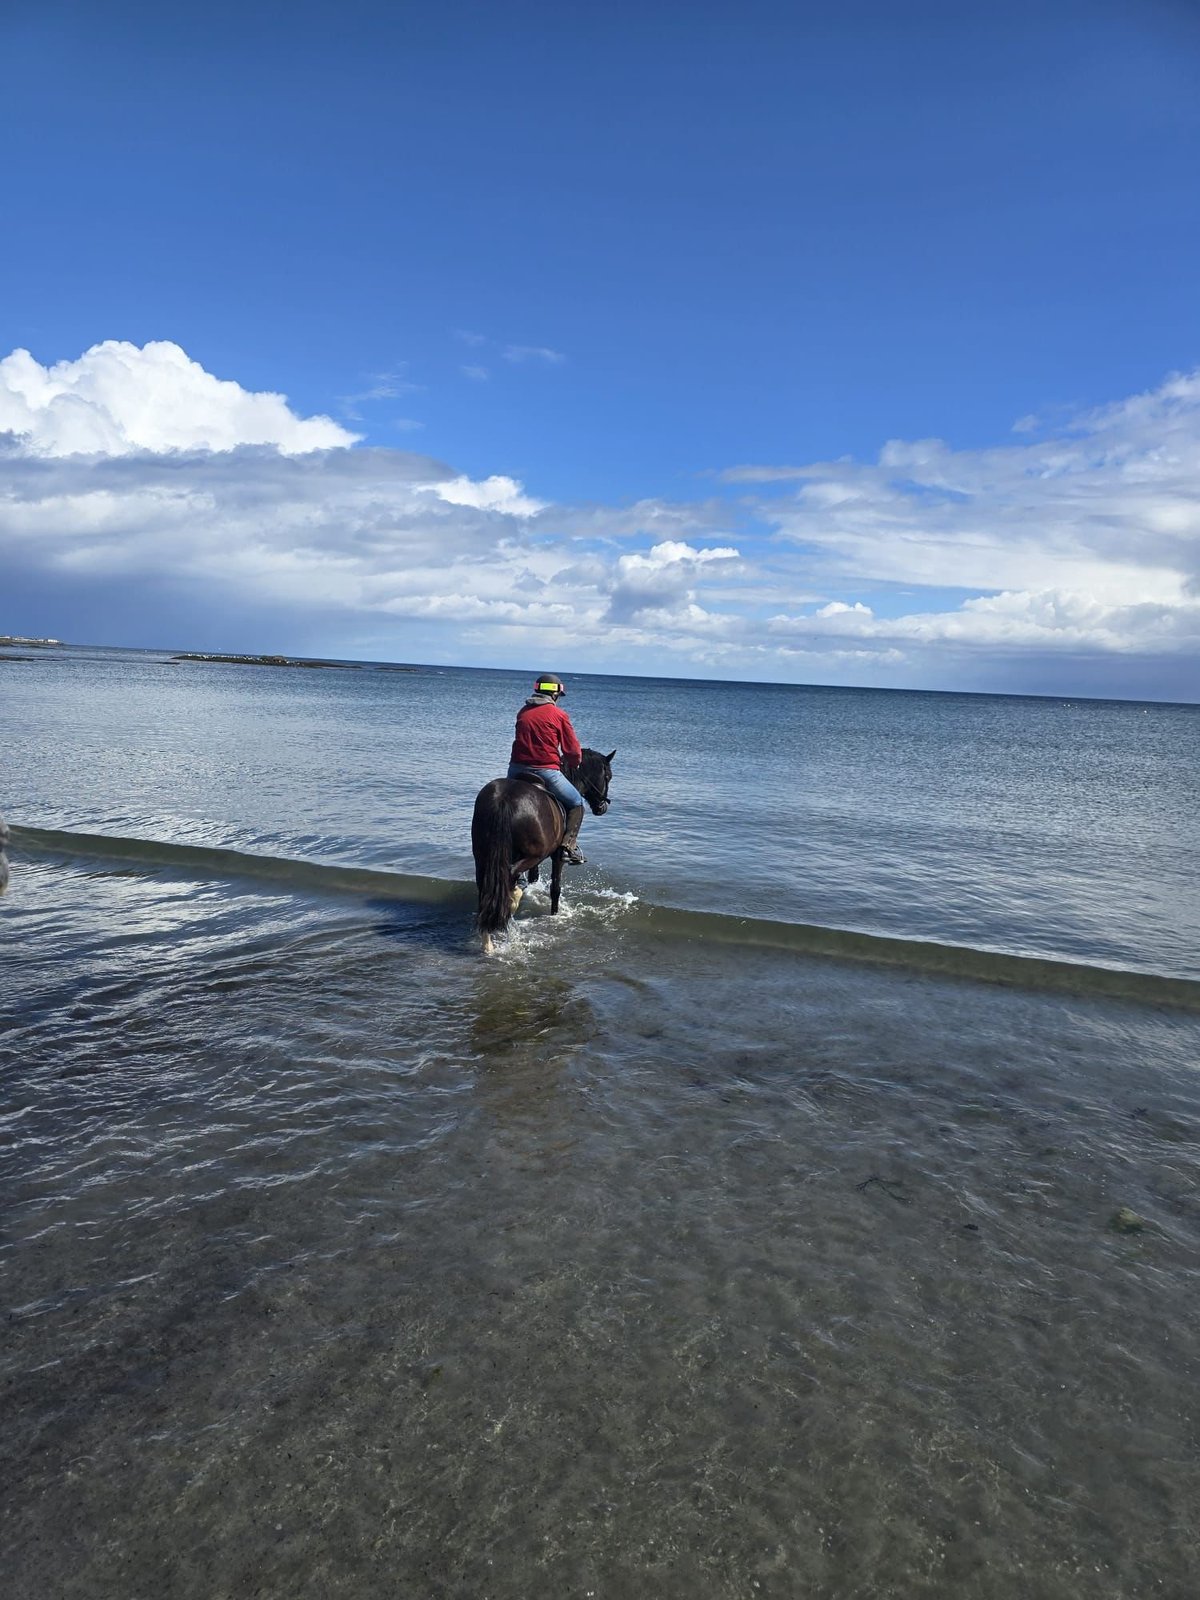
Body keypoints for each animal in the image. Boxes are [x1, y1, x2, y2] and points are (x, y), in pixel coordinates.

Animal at [471, 748, 616, 953]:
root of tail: (503, 799)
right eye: (608, 776)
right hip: (532, 855)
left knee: (487, 886)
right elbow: (555, 888)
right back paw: (510, 907)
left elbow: (534, 877)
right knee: (509, 876)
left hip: (483, 855)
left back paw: (488, 938)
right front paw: (554, 914)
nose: (602, 807)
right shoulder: (557, 856)